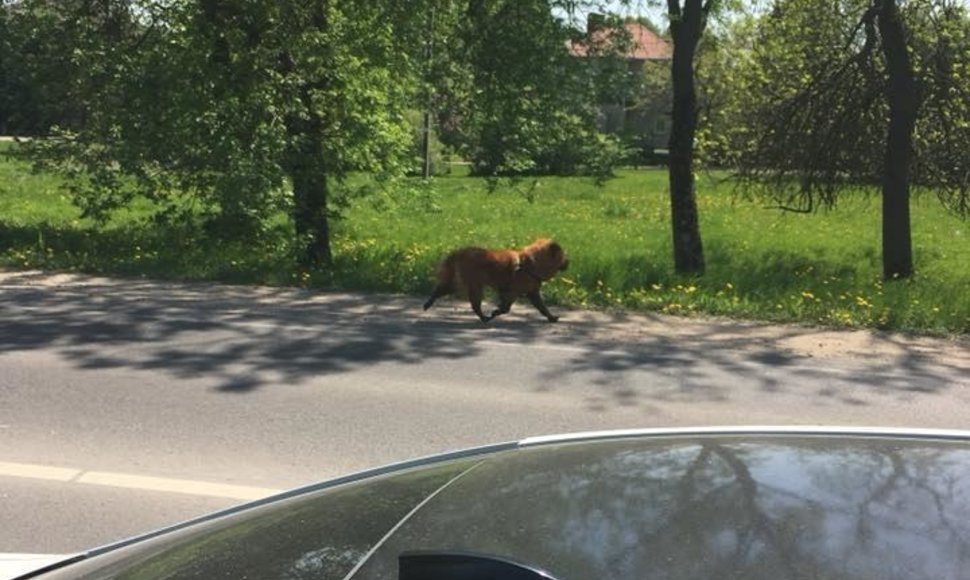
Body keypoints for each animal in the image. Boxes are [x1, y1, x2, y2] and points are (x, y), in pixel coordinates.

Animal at [424, 238, 568, 324]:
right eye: (563, 256)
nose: (569, 262)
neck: (530, 264)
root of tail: (459, 253)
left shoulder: (532, 293)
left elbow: (542, 307)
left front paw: (551, 317)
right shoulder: (512, 292)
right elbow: (506, 308)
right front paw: (496, 312)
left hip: (461, 282)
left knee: (441, 290)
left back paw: (428, 303)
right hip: (473, 285)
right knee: (475, 305)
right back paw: (484, 317)